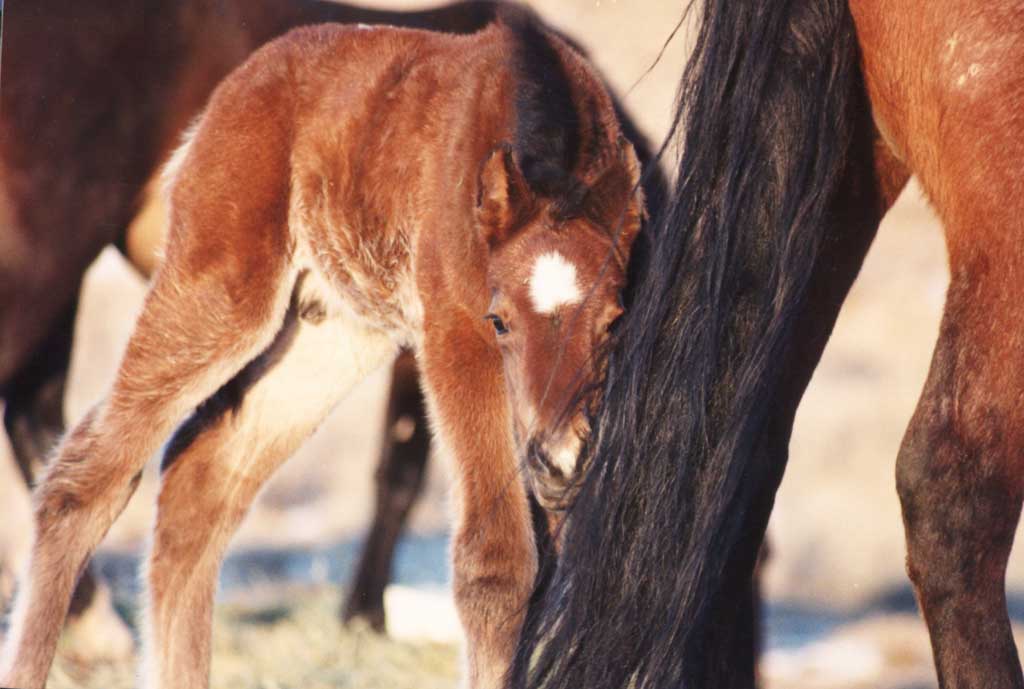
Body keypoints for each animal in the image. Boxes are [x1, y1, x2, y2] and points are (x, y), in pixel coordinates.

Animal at [0, 12, 638, 687]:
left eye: (613, 321)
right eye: (500, 322)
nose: (559, 458)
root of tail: (242, 81)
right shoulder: (454, 335)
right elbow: (496, 565)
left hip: (328, 336)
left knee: (200, 484)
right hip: (219, 291)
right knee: (87, 475)